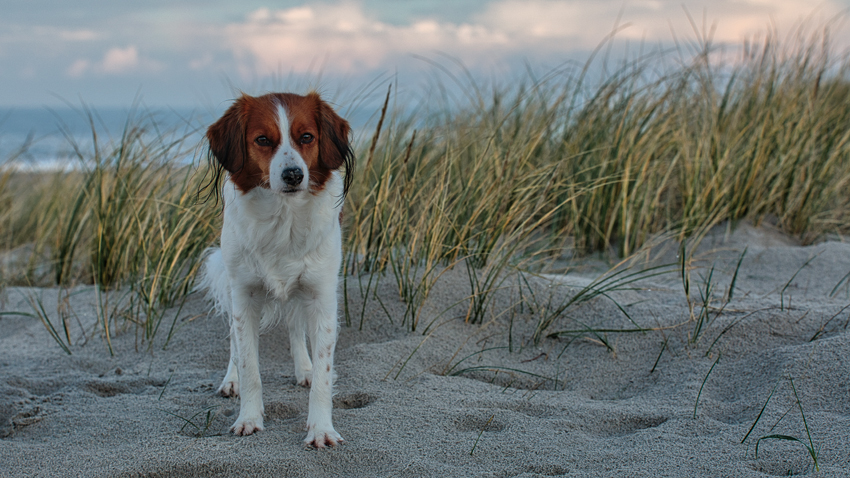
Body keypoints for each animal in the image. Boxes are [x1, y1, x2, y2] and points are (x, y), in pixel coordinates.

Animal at [198, 90, 352, 448]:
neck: (284, 218)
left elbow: (324, 373)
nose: (294, 175)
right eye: (263, 140)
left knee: (296, 328)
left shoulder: (322, 297)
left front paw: (321, 429)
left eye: (306, 137)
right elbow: (249, 365)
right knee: (234, 341)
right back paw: (230, 379)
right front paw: (248, 419)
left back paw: (304, 369)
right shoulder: (244, 297)